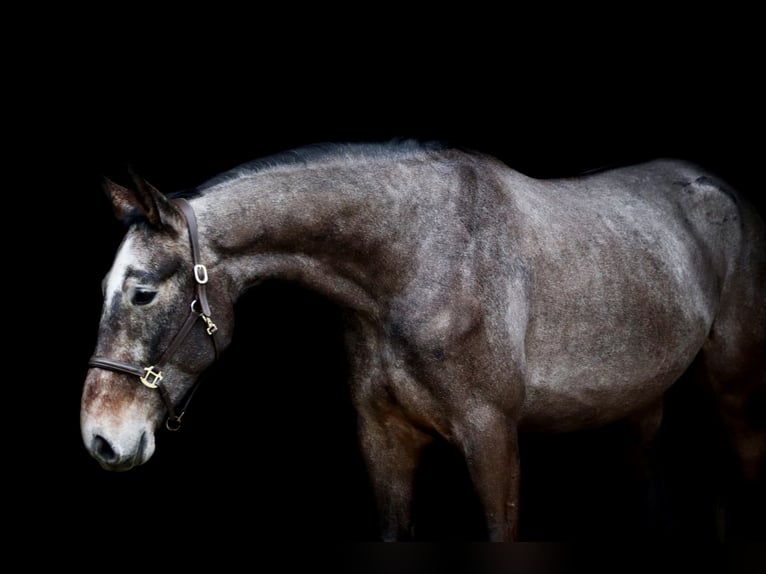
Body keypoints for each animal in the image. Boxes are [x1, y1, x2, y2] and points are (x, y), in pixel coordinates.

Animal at [81, 142, 766, 544]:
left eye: (143, 292)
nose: (101, 439)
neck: (418, 262)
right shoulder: (384, 442)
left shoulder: (493, 438)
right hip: (640, 405)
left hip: (734, 391)